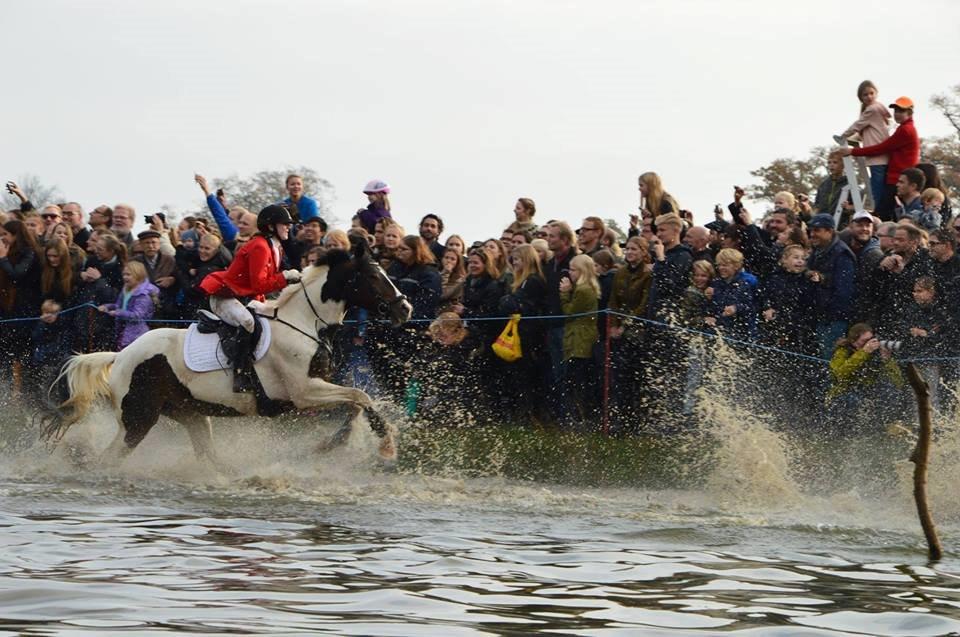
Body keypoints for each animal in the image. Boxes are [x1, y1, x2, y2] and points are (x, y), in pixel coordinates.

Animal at [41, 241, 410, 470]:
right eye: (373, 276)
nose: (404, 309)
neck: (305, 322)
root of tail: (120, 357)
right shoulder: (304, 393)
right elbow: (360, 395)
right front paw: (386, 444)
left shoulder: (318, 387)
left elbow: (355, 402)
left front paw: (334, 443)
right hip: (139, 419)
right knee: (110, 459)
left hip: (191, 413)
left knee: (208, 454)